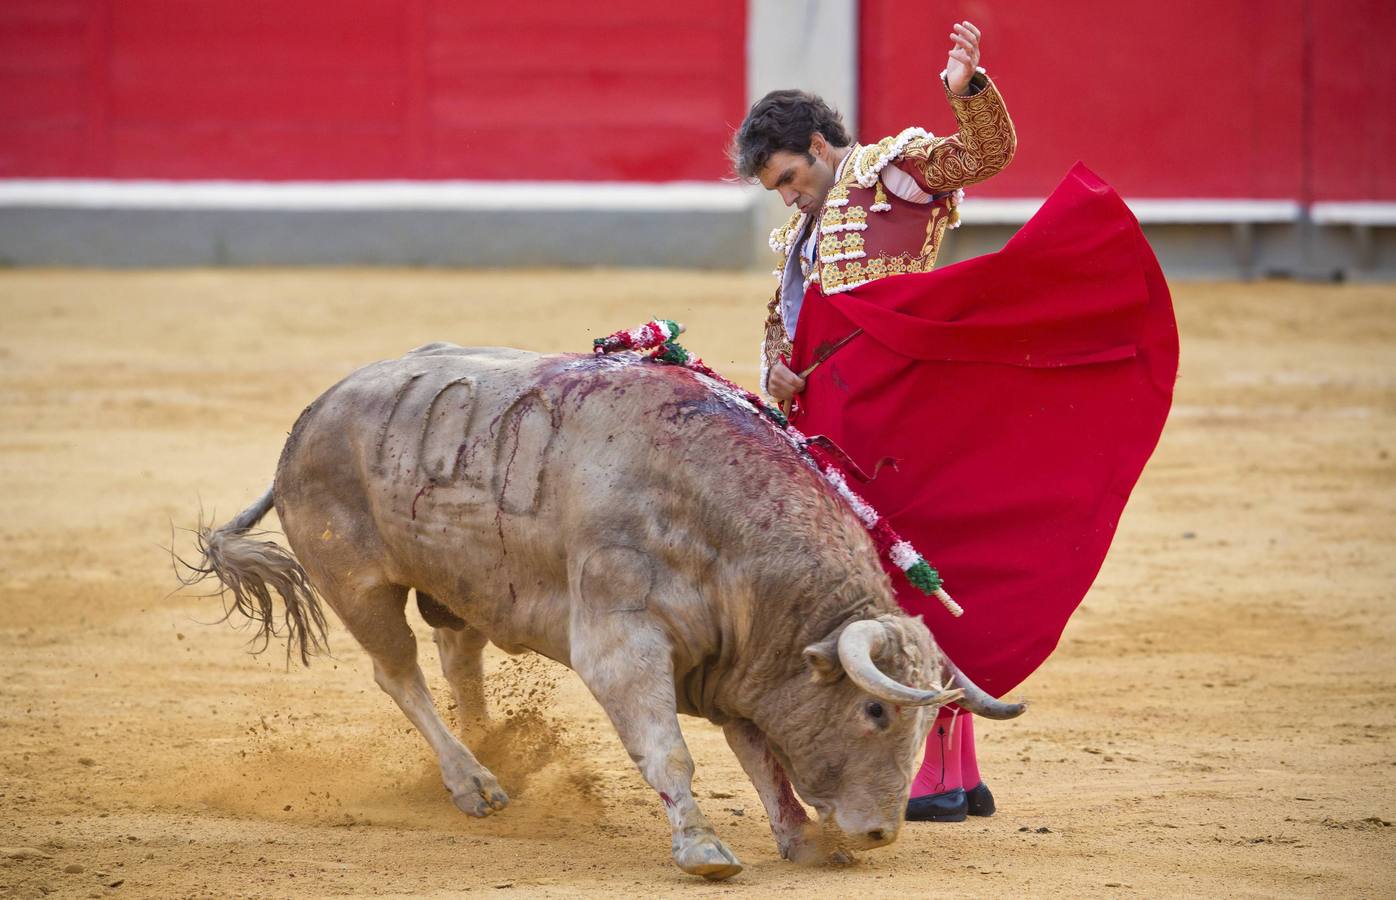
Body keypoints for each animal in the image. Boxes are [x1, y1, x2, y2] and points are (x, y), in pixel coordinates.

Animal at [185, 344, 1021, 876]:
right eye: (875, 712)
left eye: (922, 721)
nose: (880, 831)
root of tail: (309, 419)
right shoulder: (622, 640)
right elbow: (670, 749)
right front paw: (704, 852)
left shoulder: (740, 666)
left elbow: (761, 756)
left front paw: (806, 842)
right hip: (357, 583)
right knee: (399, 674)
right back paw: (473, 781)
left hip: (458, 583)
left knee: (458, 655)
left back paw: (490, 748)